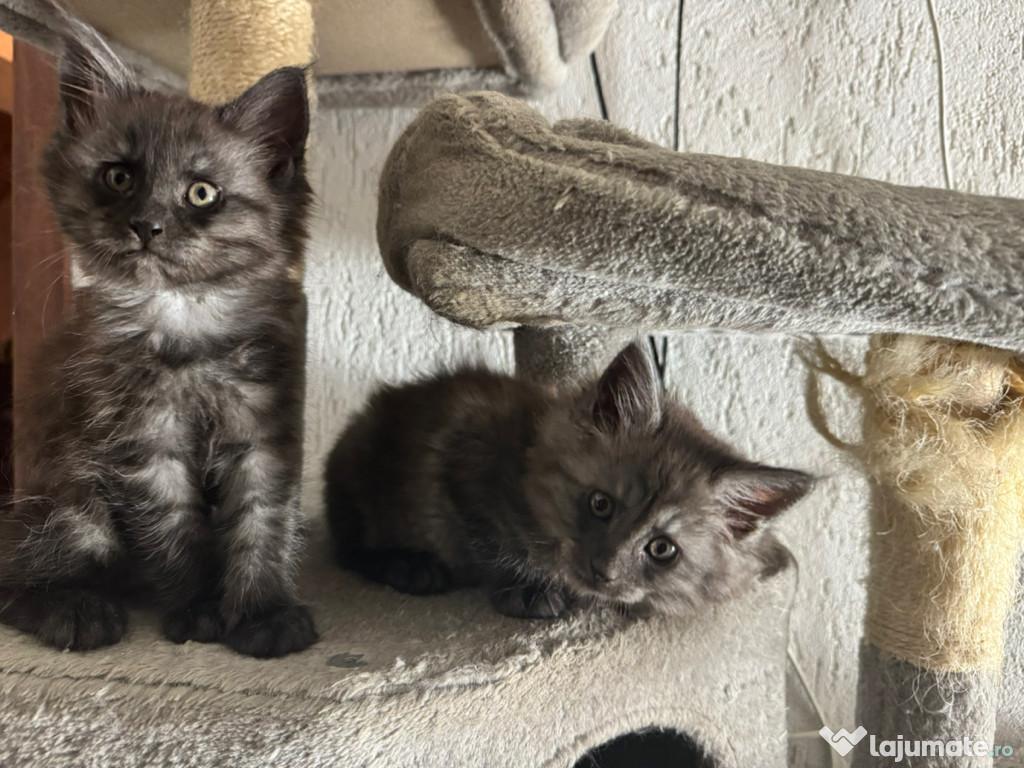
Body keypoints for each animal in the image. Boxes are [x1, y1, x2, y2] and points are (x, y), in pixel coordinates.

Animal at [0, 9, 317, 659]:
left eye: (202, 192)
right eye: (119, 177)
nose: (146, 225)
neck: (186, 315)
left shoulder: (267, 429)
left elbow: (262, 522)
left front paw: (264, 614)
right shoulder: (145, 442)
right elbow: (175, 529)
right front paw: (197, 611)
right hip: (73, 502)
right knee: (15, 575)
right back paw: (78, 612)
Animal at [323, 342, 811, 618]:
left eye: (662, 549)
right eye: (600, 504)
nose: (603, 570)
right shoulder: (461, 451)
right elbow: (489, 544)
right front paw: (527, 591)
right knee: (346, 549)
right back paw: (409, 567)